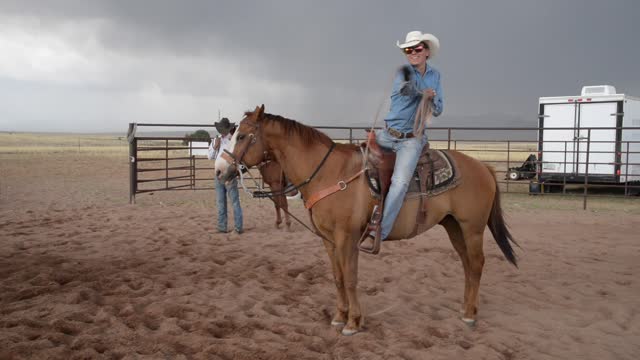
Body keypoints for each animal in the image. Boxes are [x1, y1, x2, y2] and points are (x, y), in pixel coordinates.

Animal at [218, 105, 516, 336]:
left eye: (241, 135)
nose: (220, 171)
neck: (327, 172)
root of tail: (483, 167)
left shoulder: (347, 237)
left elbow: (351, 278)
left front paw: (353, 322)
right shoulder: (328, 239)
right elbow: (338, 277)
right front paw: (339, 316)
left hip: (472, 228)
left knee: (476, 264)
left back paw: (471, 315)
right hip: (454, 226)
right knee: (467, 265)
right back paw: (465, 308)